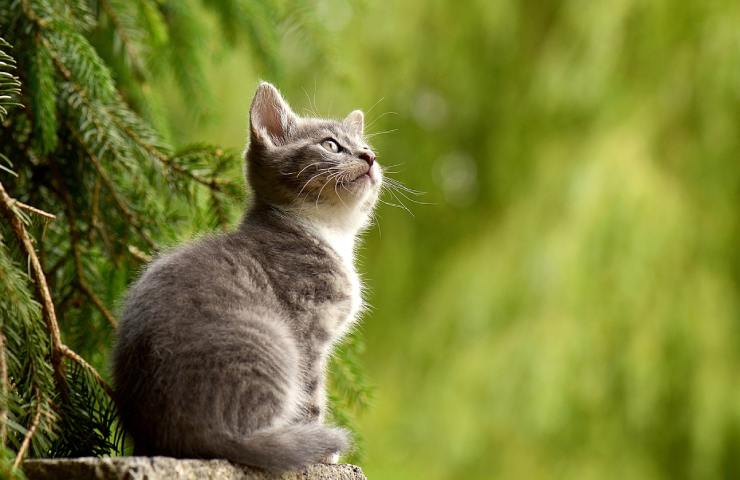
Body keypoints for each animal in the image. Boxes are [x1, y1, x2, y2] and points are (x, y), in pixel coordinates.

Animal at [114, 81, 388, 468]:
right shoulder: (308, 331)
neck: (327, 232)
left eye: (367, 147)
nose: (369, 158)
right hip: (274, 343)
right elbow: (312, 397)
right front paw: (323, 456)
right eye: (331, 145)